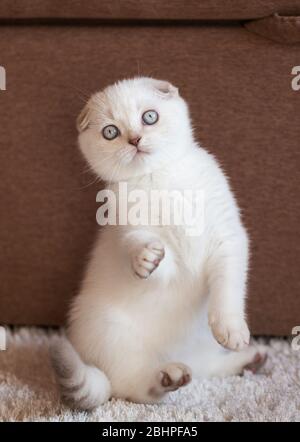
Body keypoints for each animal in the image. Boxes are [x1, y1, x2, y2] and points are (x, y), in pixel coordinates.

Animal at [50, 77, 266, 410]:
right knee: (132, 387)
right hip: (112, 333)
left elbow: (227, 288)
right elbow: (148, 253)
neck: (160, 178)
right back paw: (167, 377)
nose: (135, 139)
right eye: (110, 132)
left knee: (205, 369)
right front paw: (145, 257)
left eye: (149, 117)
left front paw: (231, 329)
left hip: (199, 346)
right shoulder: (130, 227)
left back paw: (249, 359)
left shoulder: (227, 237)